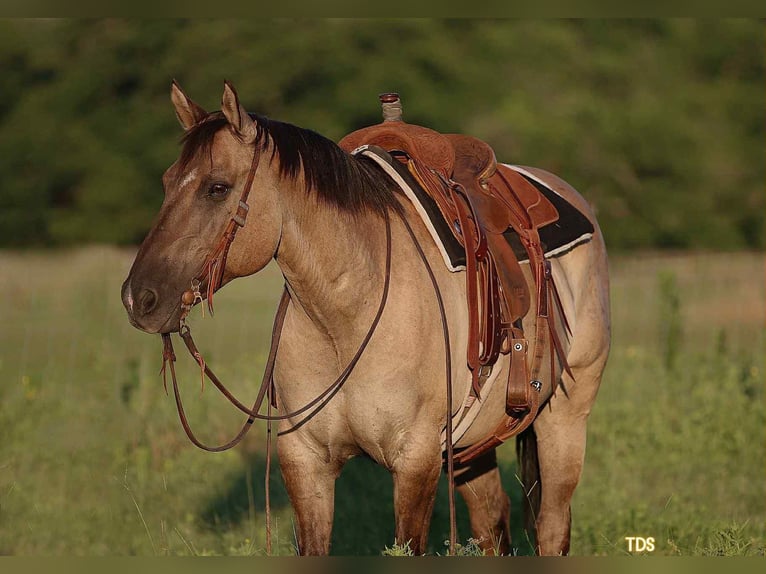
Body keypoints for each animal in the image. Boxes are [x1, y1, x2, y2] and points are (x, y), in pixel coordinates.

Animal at [121, 81, 610, 556]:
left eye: (217, 188)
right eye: (167, 182)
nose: (138, 298)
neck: (344, 317)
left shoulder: (415, 460)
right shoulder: (305, 460)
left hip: (565, 417)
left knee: (551, 527)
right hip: (473, 446)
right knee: (492, 524)